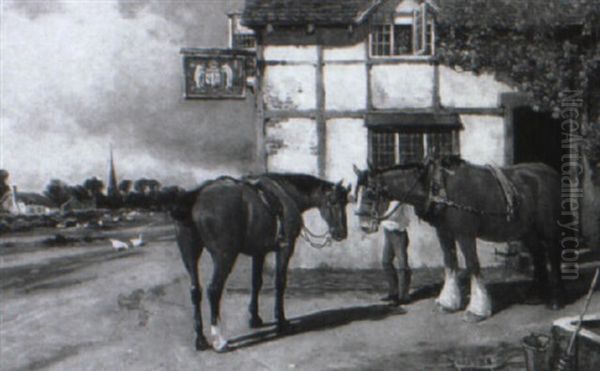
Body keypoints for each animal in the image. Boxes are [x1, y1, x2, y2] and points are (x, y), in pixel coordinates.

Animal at [171, 174, 350, 352]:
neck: (287, 194)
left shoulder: (258, 252)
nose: (341, 233)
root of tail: (197, 197)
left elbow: (256, 283)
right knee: (213, 290)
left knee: (195, 291)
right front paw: (281, 321)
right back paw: (219, 340)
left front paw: (255, 318)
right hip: (224, 258)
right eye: (333, 201)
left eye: (346, 202)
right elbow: (280, 283)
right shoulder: (285, 248)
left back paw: (200, 339)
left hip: (190, 255)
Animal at [354, 157, 564, 322]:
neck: (437, 186)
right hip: (527, 230)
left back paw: (555, 300)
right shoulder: (444, 232)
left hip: (548, 228)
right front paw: (448, 302)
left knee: (553, 254)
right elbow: (450, 262)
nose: (363, 225)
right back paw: (535, 295)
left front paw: (477, 310)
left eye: (371, 192)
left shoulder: (465, 234)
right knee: (538, 255)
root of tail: (551, 172)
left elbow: (472, 265)